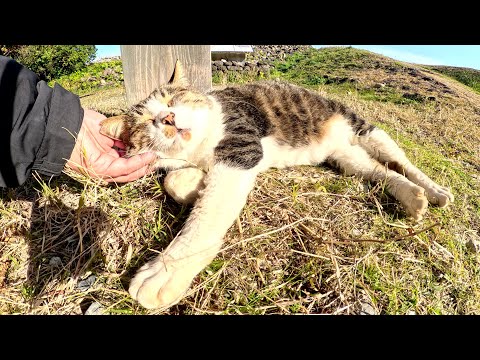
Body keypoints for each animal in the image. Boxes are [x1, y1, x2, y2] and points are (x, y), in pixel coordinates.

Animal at [98, 61, 454, 310]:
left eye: (173, 99)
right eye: (146, 121)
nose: (168, 119)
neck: (199, 149)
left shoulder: (242, 149)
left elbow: (206, 218)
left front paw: (163, 274)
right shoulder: (225, 161)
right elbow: (174, 179)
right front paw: (195, 186)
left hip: (365, 129)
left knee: (402, 162)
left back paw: (435, 192)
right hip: (347, 159)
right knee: (381, 172)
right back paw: (413, 197)